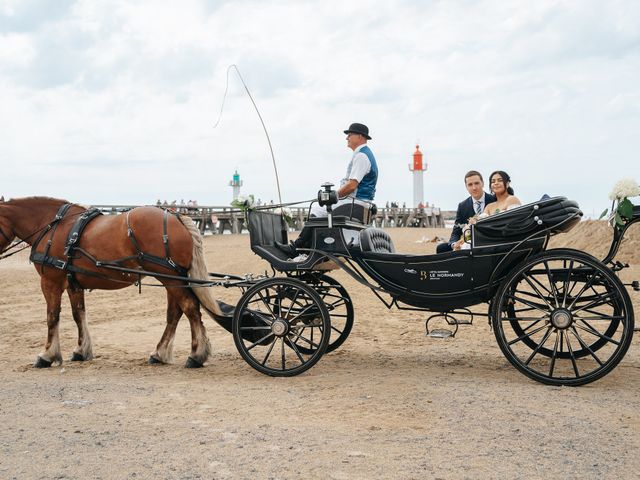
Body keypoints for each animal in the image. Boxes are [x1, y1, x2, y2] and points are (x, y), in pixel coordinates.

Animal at [0, 197, 225, 370]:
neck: (53, 227)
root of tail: (176, 216)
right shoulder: (73, 283)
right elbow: (78, 314)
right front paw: (81, 350)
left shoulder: (50, 281)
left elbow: (52, 317)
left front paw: (47, 355)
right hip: (173, 279)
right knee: (175, 313)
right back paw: (160, 353)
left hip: (169, 277)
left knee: (190, 308)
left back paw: (196, 355)